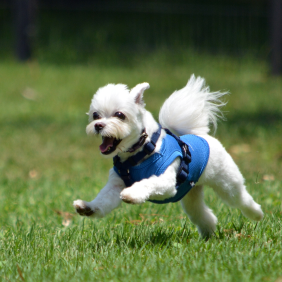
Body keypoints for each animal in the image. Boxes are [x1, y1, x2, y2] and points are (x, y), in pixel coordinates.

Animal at [74, 75, 264, 238]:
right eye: (96, 115)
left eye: (119, 115)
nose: (98, 125)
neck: (139, 155)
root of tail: (200, 135)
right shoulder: (115, 185)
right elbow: (104, 200)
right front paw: (88, 207)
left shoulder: (166, 182)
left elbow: (147, 183)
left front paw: (132, 194)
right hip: (191, 194)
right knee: (202, 214)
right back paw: (208, 234)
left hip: (226, 181)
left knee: (241, 198)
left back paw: (257, 214)